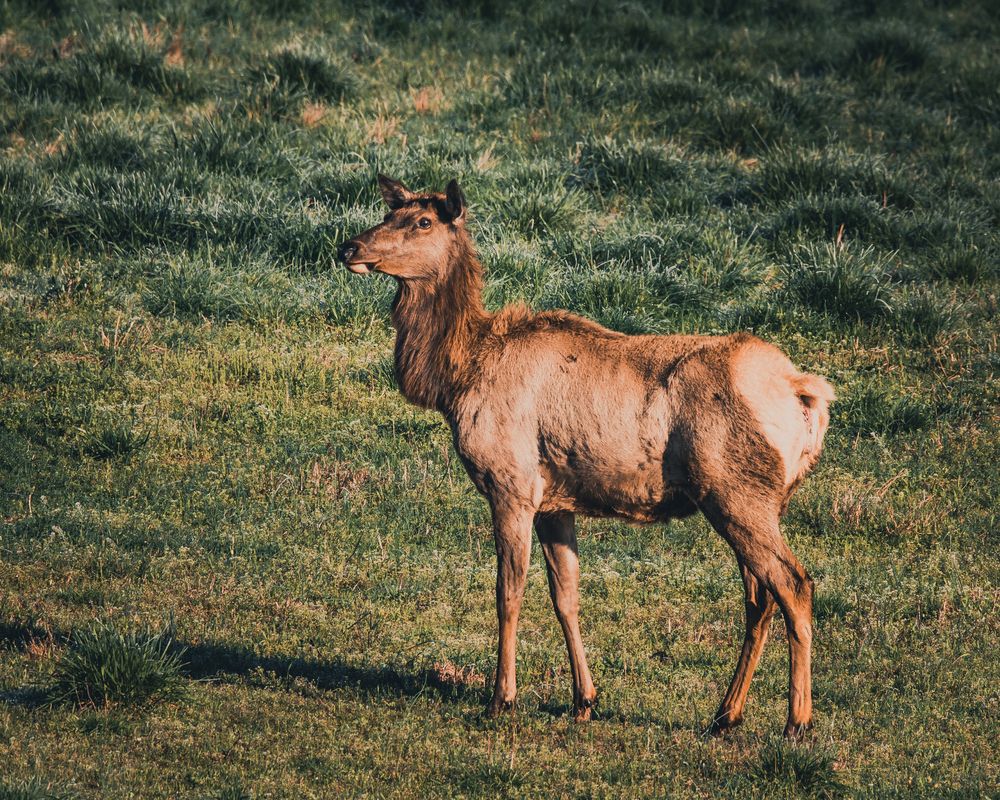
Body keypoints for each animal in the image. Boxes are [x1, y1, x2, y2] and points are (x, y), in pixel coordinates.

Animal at [337, 176, 835, 739]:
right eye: (388, 213)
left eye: (423, 221)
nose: (349, 247)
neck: (456, 376)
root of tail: (805, 393)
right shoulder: (556, 501)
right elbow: (566, 596)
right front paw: (584, 699)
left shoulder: (511, 482)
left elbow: (508, 591)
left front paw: (501, 698)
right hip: (753, 500)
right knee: (759, 598)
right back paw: (725, 714)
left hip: (736, 491)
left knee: (794, 584)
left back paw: (796, 721)